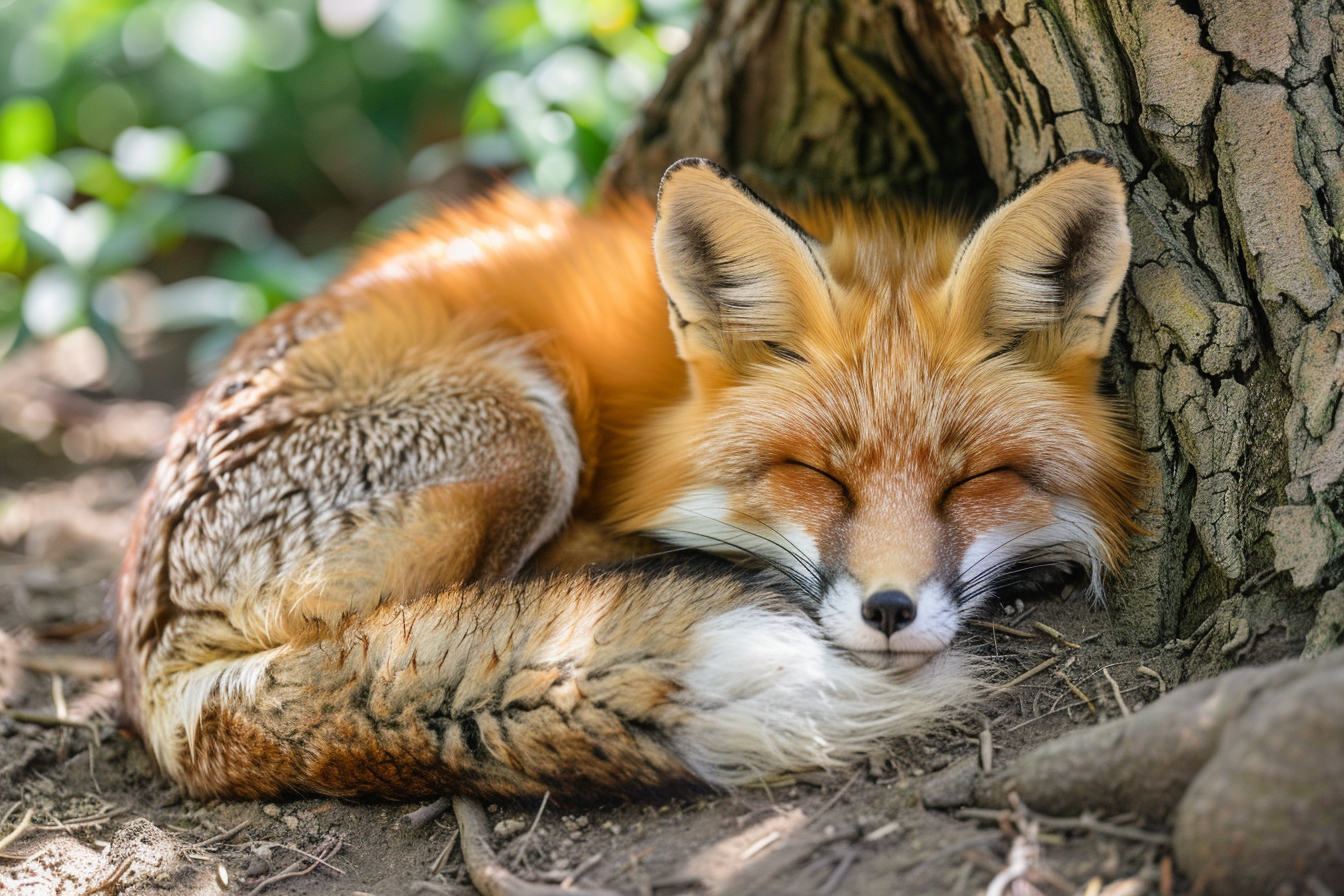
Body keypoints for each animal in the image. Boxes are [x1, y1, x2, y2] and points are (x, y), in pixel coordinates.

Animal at [114, 151, 1143, 803]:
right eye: (815, 475)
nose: (888, 611)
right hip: (523, 429)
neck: (667, 409)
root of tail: (152, 670)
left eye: (973, 482)